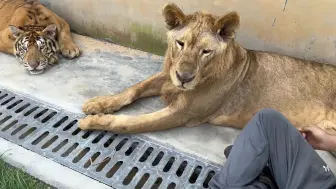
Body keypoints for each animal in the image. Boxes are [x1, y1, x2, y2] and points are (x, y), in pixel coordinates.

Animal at [77, 2, 336, 136]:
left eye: (206, 51)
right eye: (180, 43)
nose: (184, 77)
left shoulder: (183, 113)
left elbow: (132, 123)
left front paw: (94, 122)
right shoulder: (167, 77)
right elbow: (134, 89)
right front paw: (99, 103)